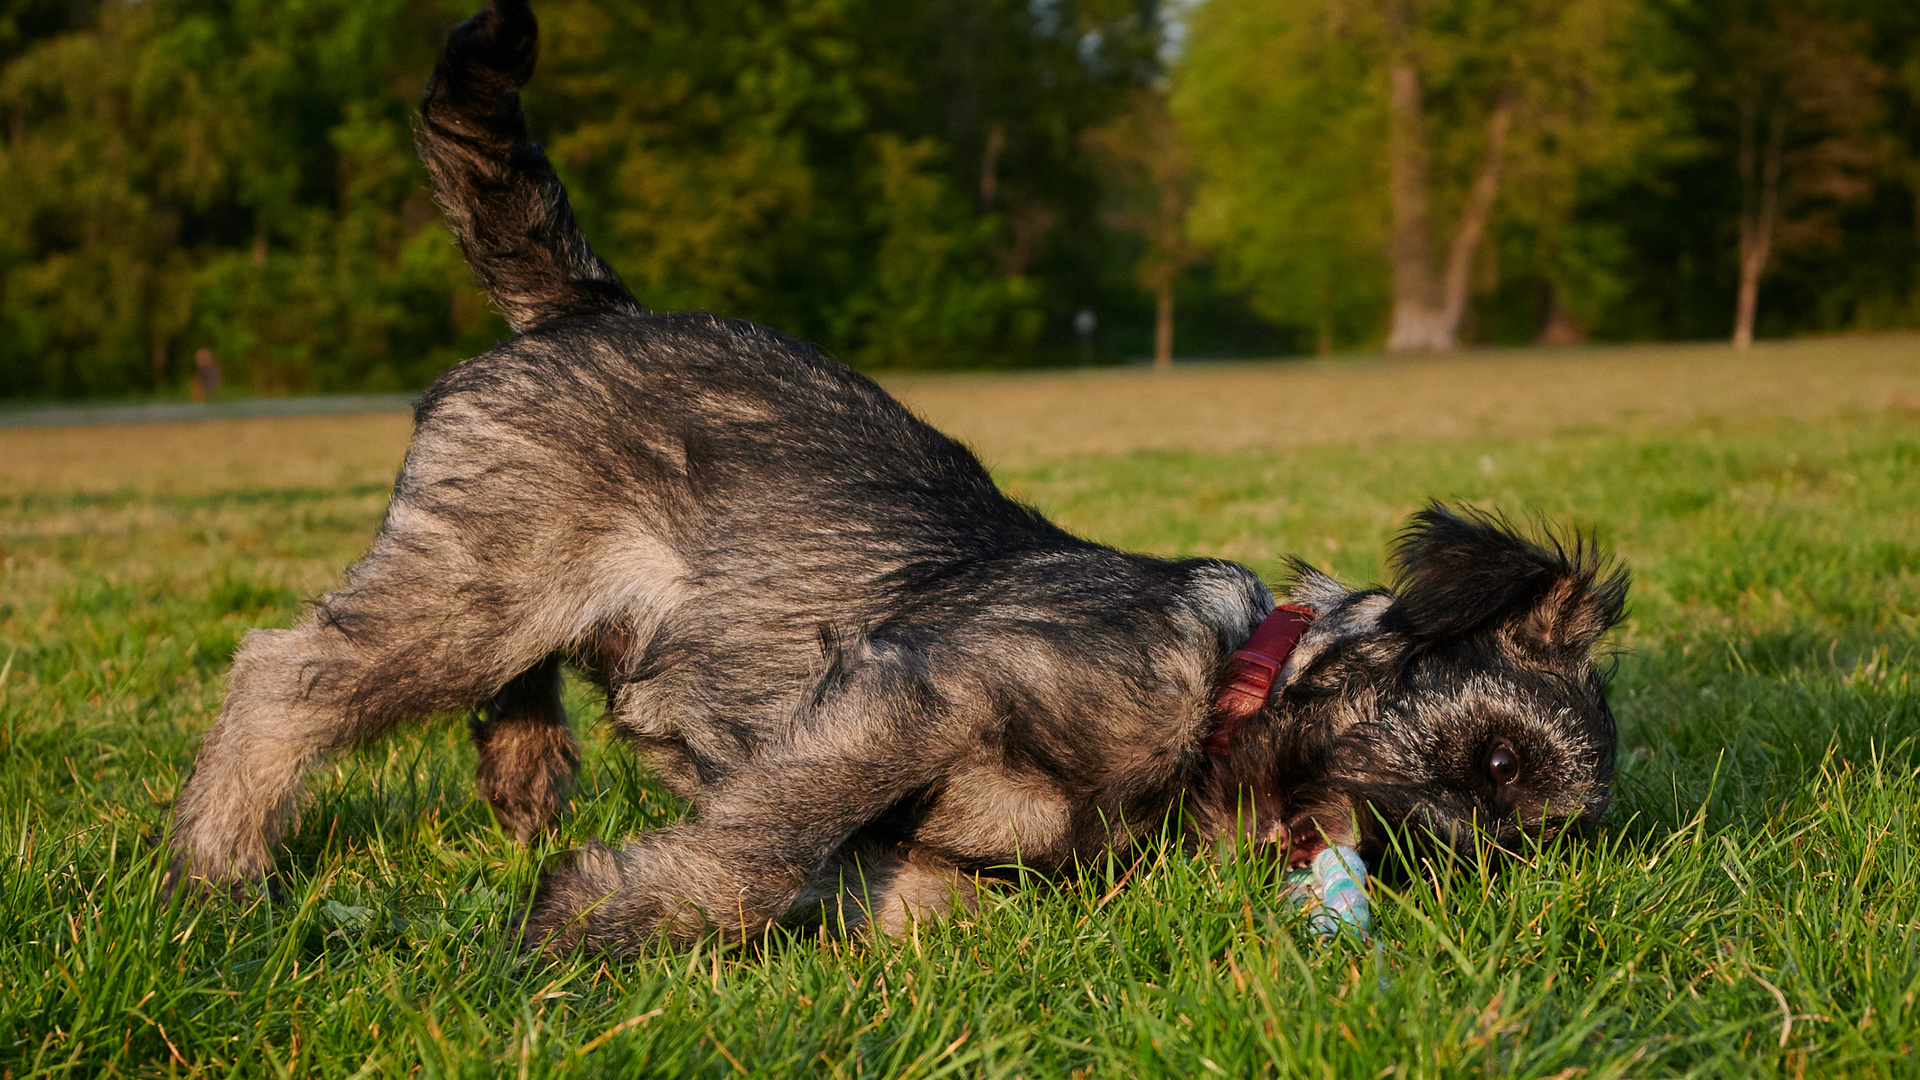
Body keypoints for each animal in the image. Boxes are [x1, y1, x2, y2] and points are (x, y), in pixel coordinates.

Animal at [161, 0, 1620, 949]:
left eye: (1515, 843)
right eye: (1487, 759)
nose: (1420, 870)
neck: (1219, 691)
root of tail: (586, 309)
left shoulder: (931, 832)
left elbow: (920, 896)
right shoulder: (905, 699)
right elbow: (761, 850)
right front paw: (604, 917)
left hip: (507, 589)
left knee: (479, 683)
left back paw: (520, 776)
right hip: (477, 585)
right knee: (284, 678)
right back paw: (215, 874)